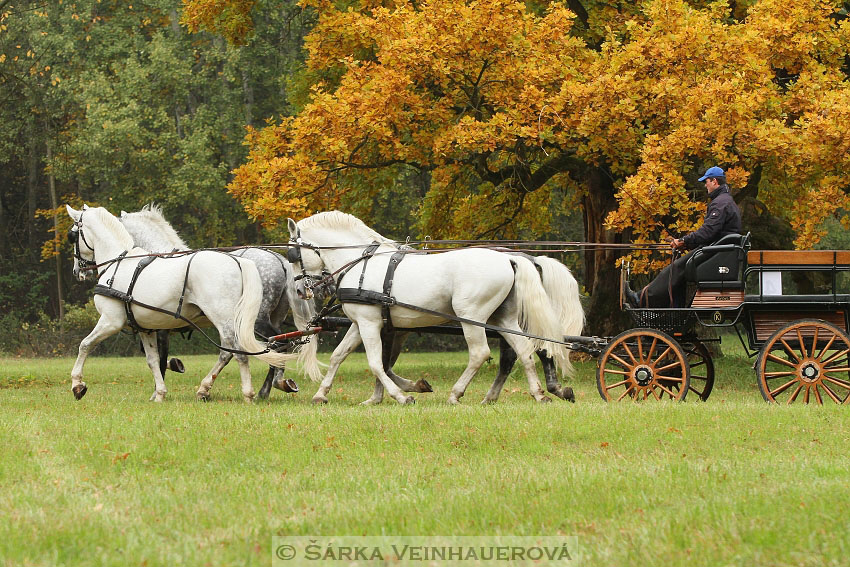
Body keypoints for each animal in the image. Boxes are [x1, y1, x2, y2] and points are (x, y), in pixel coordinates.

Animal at [63, 206, 294, 402]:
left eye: (72, 235)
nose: (77, 271)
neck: (120, 264)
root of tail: (240, 262)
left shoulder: (112, 321)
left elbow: (85, 344)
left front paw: (77, 385)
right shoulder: (146, 327)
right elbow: (153, 359)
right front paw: (159, 393)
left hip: (234, 319)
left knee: (244, 349)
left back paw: (253, 391)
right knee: (253, 347)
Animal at [117, 205, 320, 400]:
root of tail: (279, 260)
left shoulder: (160, 328)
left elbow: (159, 357)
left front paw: (158, 389)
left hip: (254, 320)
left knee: (274, 343)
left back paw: (267, 388)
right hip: (270, 317)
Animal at [286, 212, 568, 404]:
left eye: (293, 255)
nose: (299, 290)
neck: (360, 263)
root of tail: (508, 258)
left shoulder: (369, 324)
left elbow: (376, 363)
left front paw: (401, 396)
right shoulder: (361, 323)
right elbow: (338, 356)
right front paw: (321, 394)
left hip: (471, 317)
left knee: (480, 353)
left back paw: (455, 394)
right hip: (503, 319)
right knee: (524, 350)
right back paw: (538, 393)